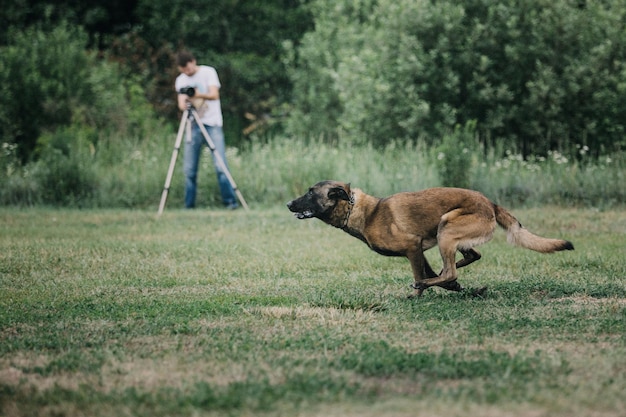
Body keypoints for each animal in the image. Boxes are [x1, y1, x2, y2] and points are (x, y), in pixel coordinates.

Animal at [286, 180, 572, 298]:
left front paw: (417, 293)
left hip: (445, 227)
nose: (288, 204)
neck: (365, 212)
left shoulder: (412, 248)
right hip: (450, 235)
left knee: (451, 268)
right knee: (467, 258)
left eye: (310, 193)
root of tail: (490, 203)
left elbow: (420, 275)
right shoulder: (419, 251)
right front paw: (455, 288)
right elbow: (432, 272)